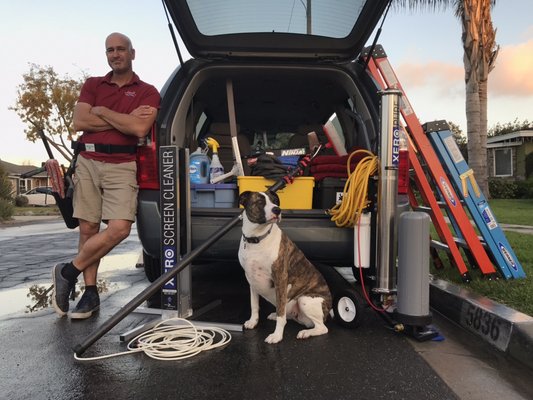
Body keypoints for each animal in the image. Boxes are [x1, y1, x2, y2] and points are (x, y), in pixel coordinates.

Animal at [238, 191, 330, 344]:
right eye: (260, 202)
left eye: (275, 201)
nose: (277, 210)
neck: (257, 238)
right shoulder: (251, 280)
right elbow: (254, 305)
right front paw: (253, 322)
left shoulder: (280, 278)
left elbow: (281, 315)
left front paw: (277, 336)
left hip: (305, 300)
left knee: (322, 328)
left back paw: (306, 332)